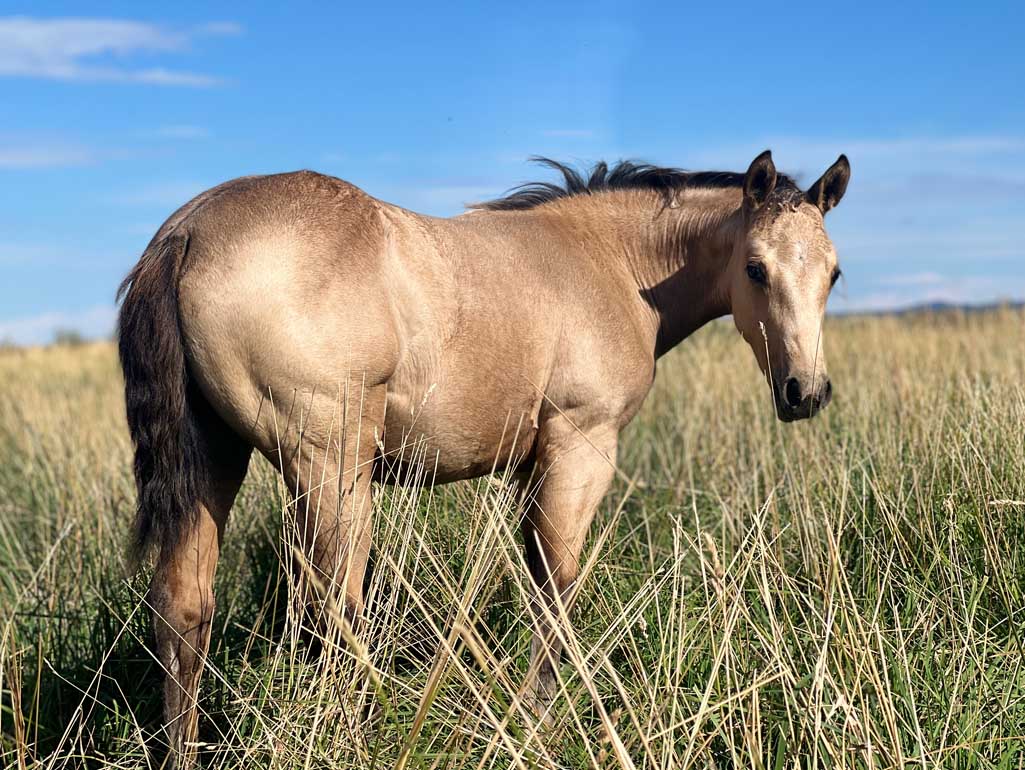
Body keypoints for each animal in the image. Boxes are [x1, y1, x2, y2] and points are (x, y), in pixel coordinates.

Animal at [117, 149, 849, 763]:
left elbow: (536, 581)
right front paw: (537, 719)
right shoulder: (581, 446)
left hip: (216, 461)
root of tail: (186, 233)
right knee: (332, 609)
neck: (609, 261)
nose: (805, 392)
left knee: (184, 608)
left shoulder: (532, 466)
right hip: (330, 468)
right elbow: (556, 587)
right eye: (755, 267)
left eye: (834, 273)